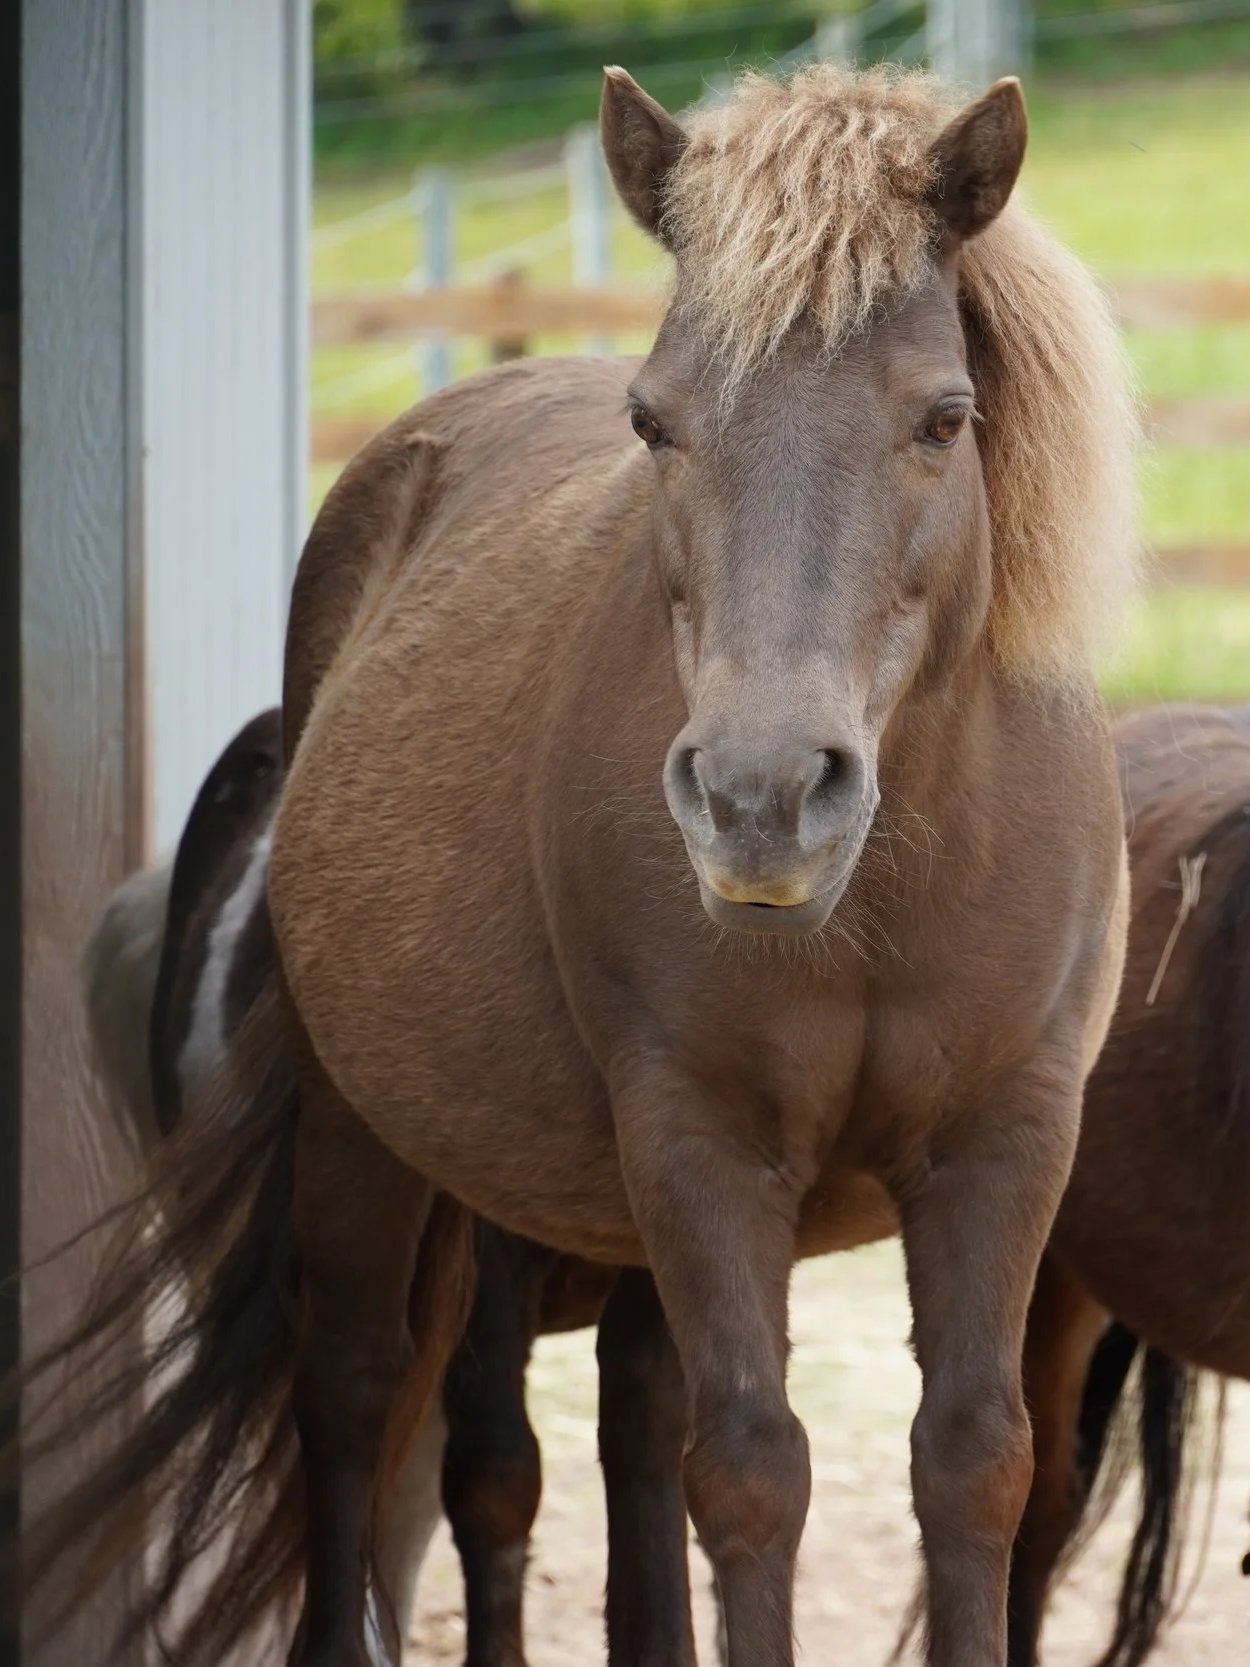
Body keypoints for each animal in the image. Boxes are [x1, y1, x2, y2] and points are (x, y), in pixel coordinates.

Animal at [13, 63, 1137, 1667]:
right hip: (368, 1145)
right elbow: (749, 1474)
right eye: (653, 422)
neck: (883, 897)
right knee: (352, 1401)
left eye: (944, 417)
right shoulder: (697, 1143)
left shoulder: (1004, 1141)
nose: (758, 795)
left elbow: (971, 1464)